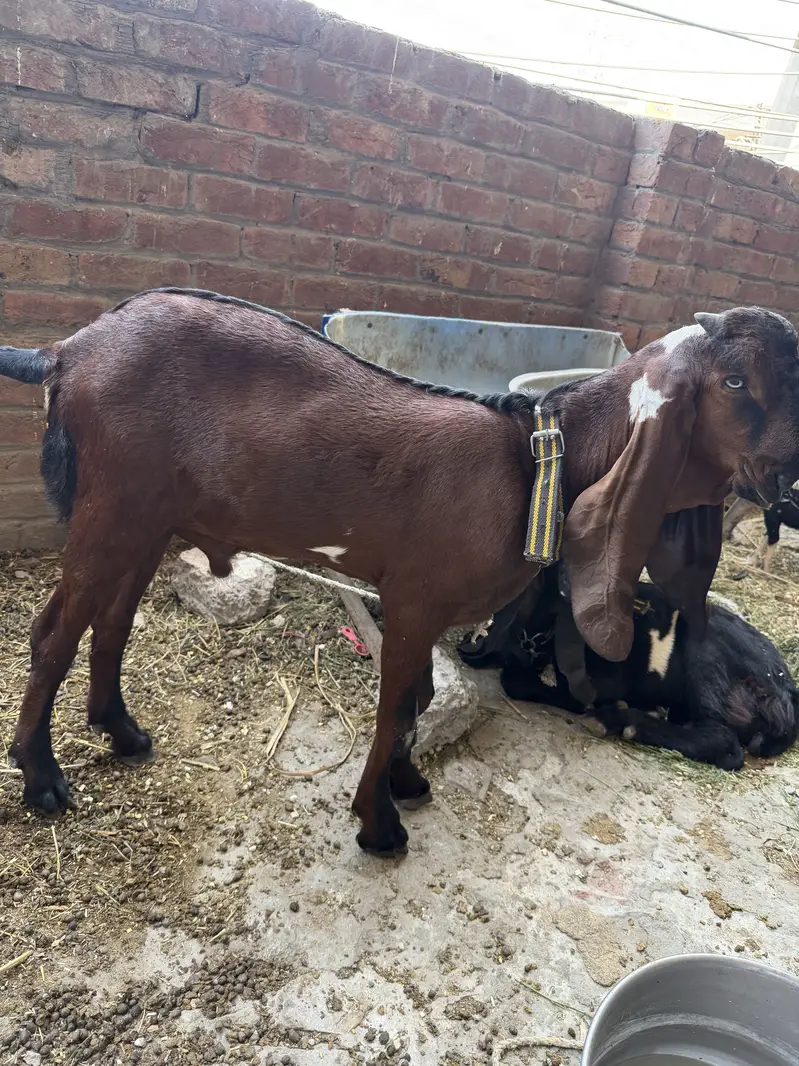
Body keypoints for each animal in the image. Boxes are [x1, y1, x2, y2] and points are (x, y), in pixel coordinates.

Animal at [459, 566, 798, 769]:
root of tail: (786, 688)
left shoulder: (602, 680)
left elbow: (520, 682)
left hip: (704, 653)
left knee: (725, 742)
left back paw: (621, 721)